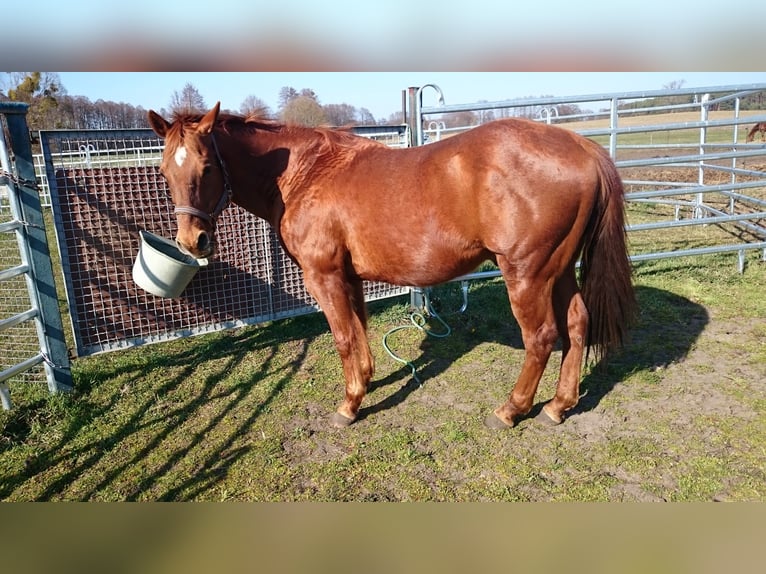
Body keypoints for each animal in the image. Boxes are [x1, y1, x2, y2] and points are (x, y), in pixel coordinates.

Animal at [148, 103, 636, 430]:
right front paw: (366, 381)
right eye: (164, 170)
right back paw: (558, 405)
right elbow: (360, 330)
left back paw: (510, 410)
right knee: (577, 324)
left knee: (542, 337)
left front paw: (349, 405)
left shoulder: (323, 276)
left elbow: (344, 338)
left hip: (528, 273)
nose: (192, 241)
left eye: (207, 166)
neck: (305, 173)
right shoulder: (349, 277)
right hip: (560, 270)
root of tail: (582, 147)